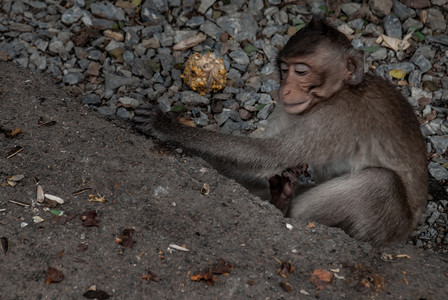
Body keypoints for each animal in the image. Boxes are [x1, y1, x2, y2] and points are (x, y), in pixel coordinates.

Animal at [135, 17, 428, 246]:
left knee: (380, 182)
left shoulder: (338, 114)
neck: (340, 91)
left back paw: (283, 205)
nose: (284, 89)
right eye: (285, 70)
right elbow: (260, 155)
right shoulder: (294, 109)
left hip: (388, 227)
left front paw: (166, 126)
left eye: (301, 71)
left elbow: (270, 154)